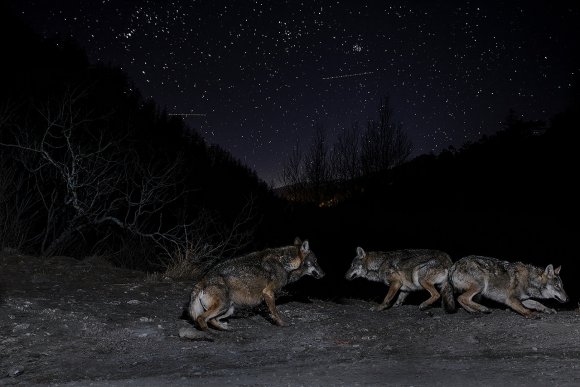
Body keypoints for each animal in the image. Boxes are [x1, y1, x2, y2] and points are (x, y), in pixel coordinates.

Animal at [189, 238, 322, 332]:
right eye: (315, 262)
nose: (324, 274)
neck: (285, 263)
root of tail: (203, 280)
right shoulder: (268, 293)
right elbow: (275, 312)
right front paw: (282, 324)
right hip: (223, 306)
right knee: (201, 318)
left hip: (229, 309)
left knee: (212, 320)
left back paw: (224, 328)